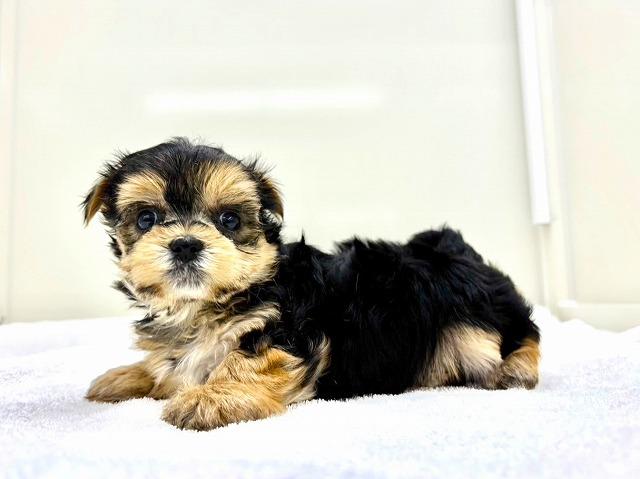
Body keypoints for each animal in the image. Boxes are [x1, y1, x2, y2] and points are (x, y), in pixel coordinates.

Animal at [82, 138, 540, 430]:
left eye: (228, 220)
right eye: (147, 219)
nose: (185, 244)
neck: (209, 306)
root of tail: (461, 254)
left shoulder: (285, 331)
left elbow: (246, 360)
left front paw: (211, 397)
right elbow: (171, 365)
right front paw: (129, 377)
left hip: (476, 324)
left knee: (525, 331)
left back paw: (517, 370)